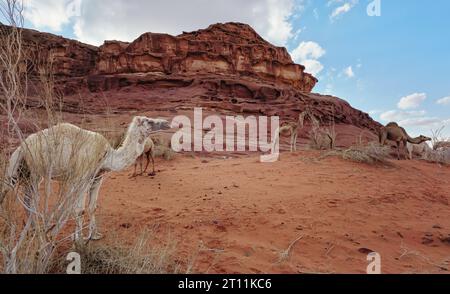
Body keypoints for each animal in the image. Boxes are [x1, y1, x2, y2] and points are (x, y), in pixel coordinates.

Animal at [1, 116, 171, 240]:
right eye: (149, 120)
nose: (167, 123)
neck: (107, 156)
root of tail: (20, 147)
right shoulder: (81, 178)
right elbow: (79, 210)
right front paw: (78, 239)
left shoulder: (97, 178)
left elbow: (92, 207)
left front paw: (94, 235)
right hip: (32, 171)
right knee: (27, 199)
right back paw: (36, 230)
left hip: (27, 173)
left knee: (27, 199)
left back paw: (34, 230)